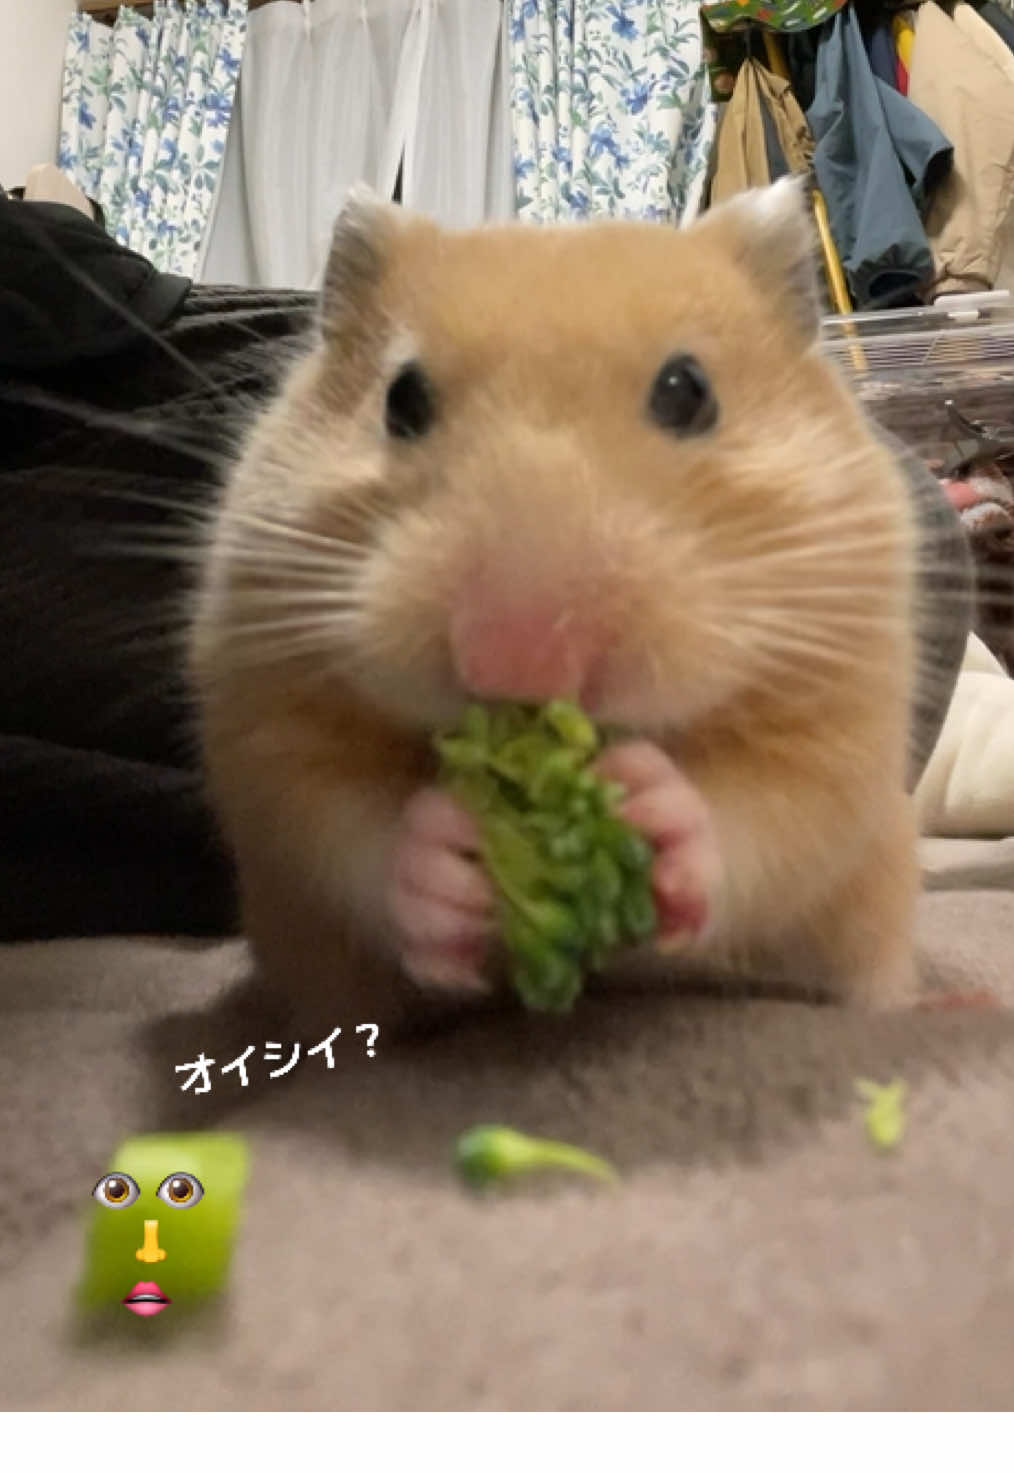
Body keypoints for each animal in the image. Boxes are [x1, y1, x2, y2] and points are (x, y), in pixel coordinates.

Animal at [187, 176, 931, 1032]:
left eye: (689, 392)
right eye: (401, 398)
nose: (519, 660)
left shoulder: (843, 712)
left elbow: (774, 809)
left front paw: (651, 805)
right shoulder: (266, 710)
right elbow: (342, 824)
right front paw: (445, 856)